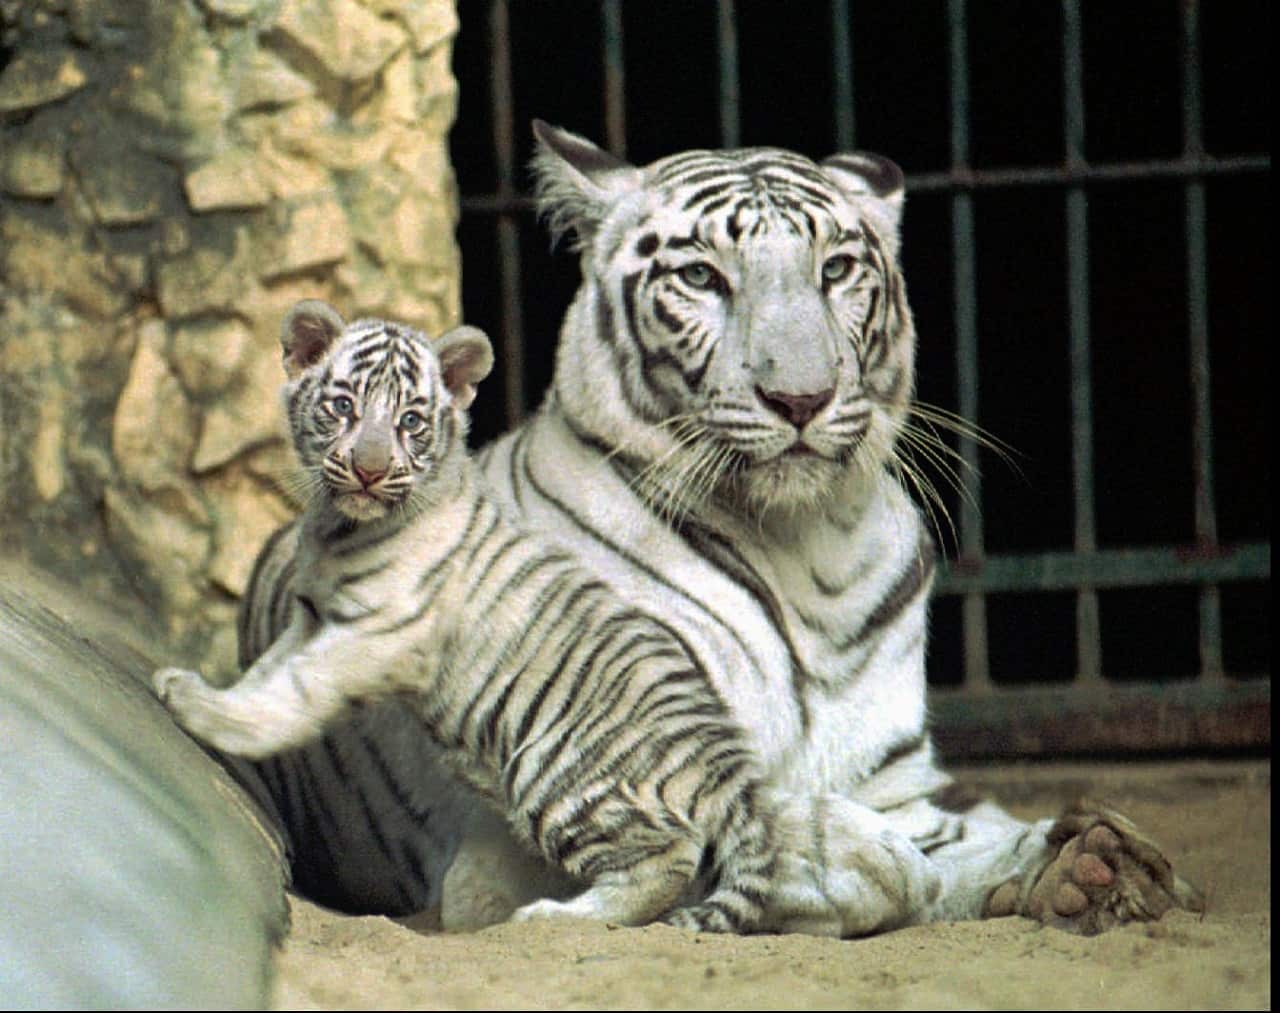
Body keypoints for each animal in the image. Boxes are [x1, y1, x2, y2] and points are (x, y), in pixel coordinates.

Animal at [152, 300, 777, 933]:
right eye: (344, 406)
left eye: (410, 421)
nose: (369, 470)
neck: (339, 527)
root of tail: (721, 758)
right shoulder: (311, 618)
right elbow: (266, 672)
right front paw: (204, 692)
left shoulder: (373, 633)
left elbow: (296, 688)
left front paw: (205, 714)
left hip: (559, 770)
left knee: (666, 855)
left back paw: (552, 916)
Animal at [227, 122, 1201, 937]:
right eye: (701, 277)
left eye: (836, 270)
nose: (801, 398)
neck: (815, 551)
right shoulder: (511, 847)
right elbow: (782, 840)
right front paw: (879, 867)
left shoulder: (898, 789)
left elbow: (955, 836)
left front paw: (1094, 863)